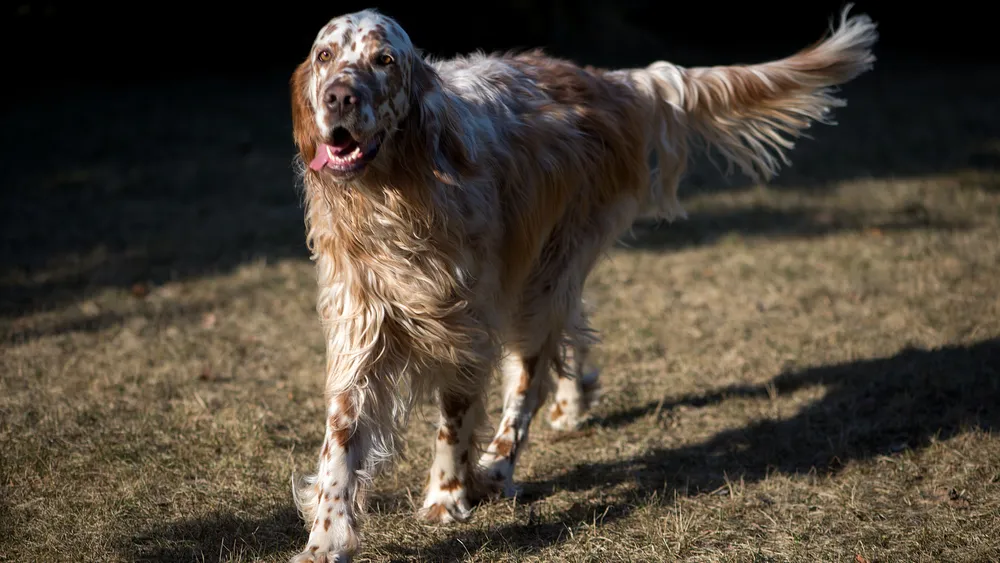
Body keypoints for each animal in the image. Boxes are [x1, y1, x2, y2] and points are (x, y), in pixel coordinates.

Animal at [288, 6, 876, 560]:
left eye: (384, 60)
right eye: (324, 56)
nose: (339, 97)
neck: (395, 194)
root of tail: (602, 79)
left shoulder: (466, 328)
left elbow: (454, 421)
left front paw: (446, 498)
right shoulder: (360, 328)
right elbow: (341, 438)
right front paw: (325, 540)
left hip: (544, 275)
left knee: (528, 378)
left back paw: (499, 466)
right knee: (565, 334)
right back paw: (571, 403)